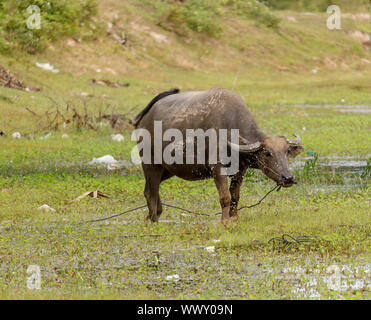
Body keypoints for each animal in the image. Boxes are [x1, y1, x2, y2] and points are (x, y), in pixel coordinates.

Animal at [134, 86, 306, 224]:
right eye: (267, 153)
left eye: (286, 152)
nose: (288, 178)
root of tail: (144, 118)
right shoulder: (217, 168)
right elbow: (225, 197)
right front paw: (225, 221)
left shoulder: (240, 170)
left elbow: (235, 195)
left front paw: (234, 218)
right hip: (150, 164)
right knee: (150, 192)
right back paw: (154, 221)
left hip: (167, 170)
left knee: (149, 189)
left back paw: (152, 216)